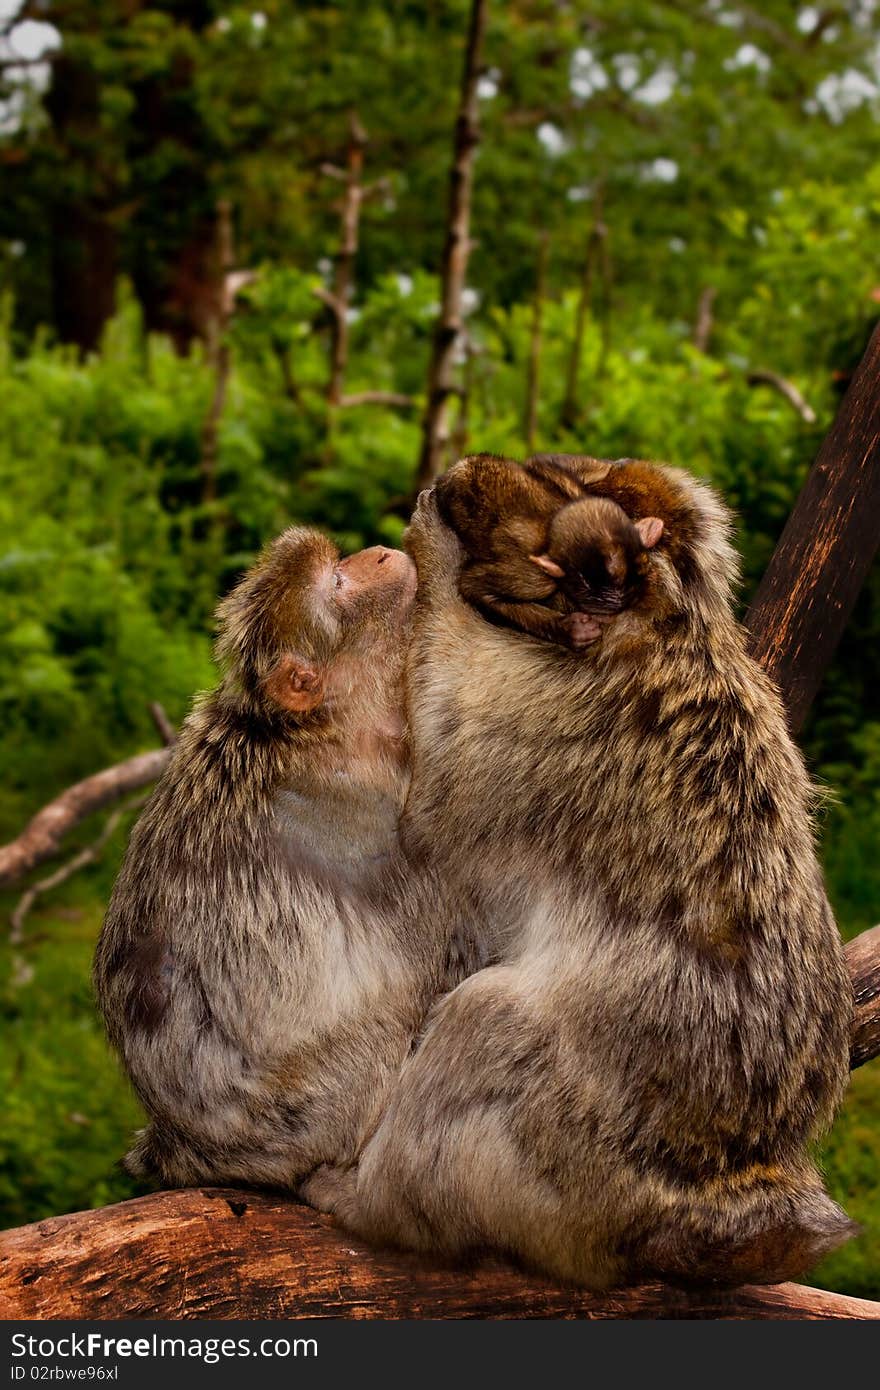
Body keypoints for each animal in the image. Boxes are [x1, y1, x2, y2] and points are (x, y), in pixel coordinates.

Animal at [94, 525, 481, 1189]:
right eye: (338, 582)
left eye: (341, 561)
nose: (379, 552)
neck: (320, 729)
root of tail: (182, 1145)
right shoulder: (369, 814)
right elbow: (447, 939)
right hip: (313, 1105)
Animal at [433, 455, 658, 650]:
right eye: (588, 588)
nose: (616, 608)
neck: (552, 523)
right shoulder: (535, 579)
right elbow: (472, 585)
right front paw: (569, 629)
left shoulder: (572, 490)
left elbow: (544, 462)